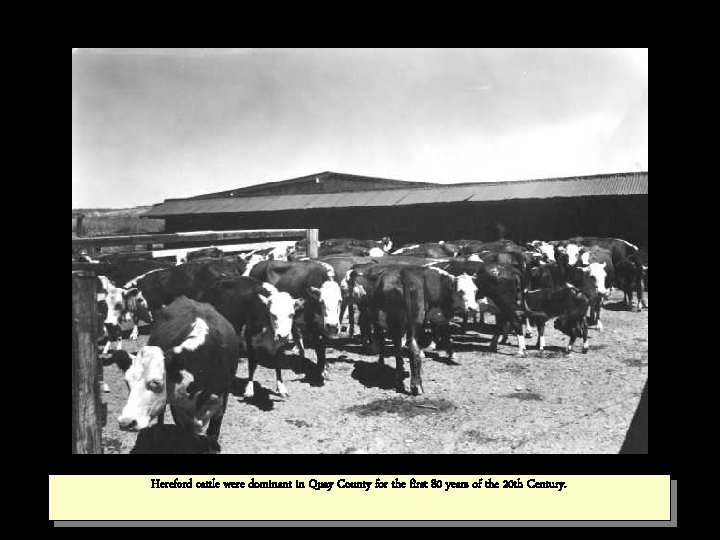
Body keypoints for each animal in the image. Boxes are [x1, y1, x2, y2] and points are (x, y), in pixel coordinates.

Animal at [116, 298, 239, 454]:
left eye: (156, 382)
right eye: (127, 383)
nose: (126, 422)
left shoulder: (222, 398)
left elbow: (213, 431)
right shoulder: (179, 408)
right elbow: (188, 433)